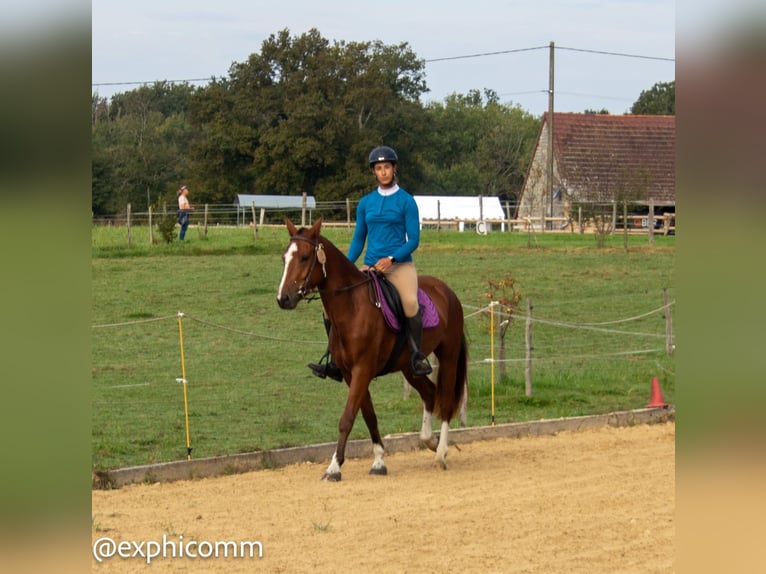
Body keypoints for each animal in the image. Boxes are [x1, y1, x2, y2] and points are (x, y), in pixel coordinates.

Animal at [276, 218, 468, 484]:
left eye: (304, 257)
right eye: (285, 257)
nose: (283, 298)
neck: (352, 307)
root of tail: (447, 291)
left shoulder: (362, 370)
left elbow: (347, 418)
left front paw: (334, 468)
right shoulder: (350, 374)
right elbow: (369, 416)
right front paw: (378, 461)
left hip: (448, 356)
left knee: (446, 400)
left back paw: (440, 453)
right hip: (409, 367)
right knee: (429, 394)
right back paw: (429, 440)